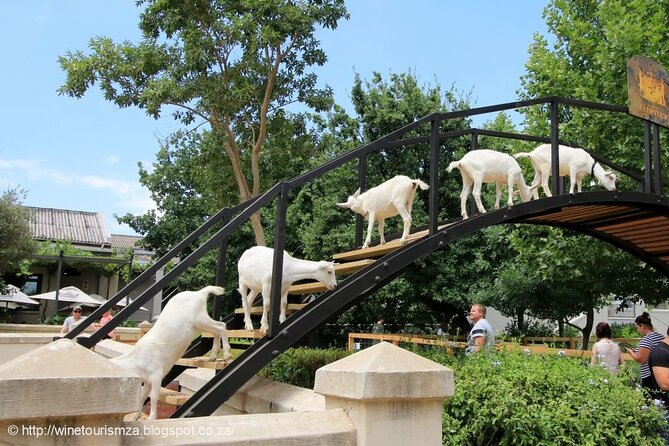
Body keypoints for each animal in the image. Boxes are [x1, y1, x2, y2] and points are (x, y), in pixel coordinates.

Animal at [111, 285, 230, 421]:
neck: (137, 359)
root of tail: (200, 293)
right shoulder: (147, 380)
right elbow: (142, 397)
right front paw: (135, 417)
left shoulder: (156, 375)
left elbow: (153, 396)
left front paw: (152, 418)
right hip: (200, 324)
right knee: (217, 329)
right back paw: (213, 356)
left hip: (200, 319)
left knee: (221, 326)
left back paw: (226, 354)